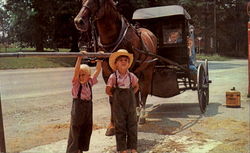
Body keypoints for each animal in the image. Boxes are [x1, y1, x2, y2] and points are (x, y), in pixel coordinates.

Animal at [73, 0, 156, 134]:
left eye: (95, 1)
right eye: (82, 1)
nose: (78, 21)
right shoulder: (107, 74)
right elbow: (112, 99)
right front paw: (112, 126)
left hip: (148, 70)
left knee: (144, 92)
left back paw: (142, 117)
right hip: (137, 71)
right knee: (137, 91)